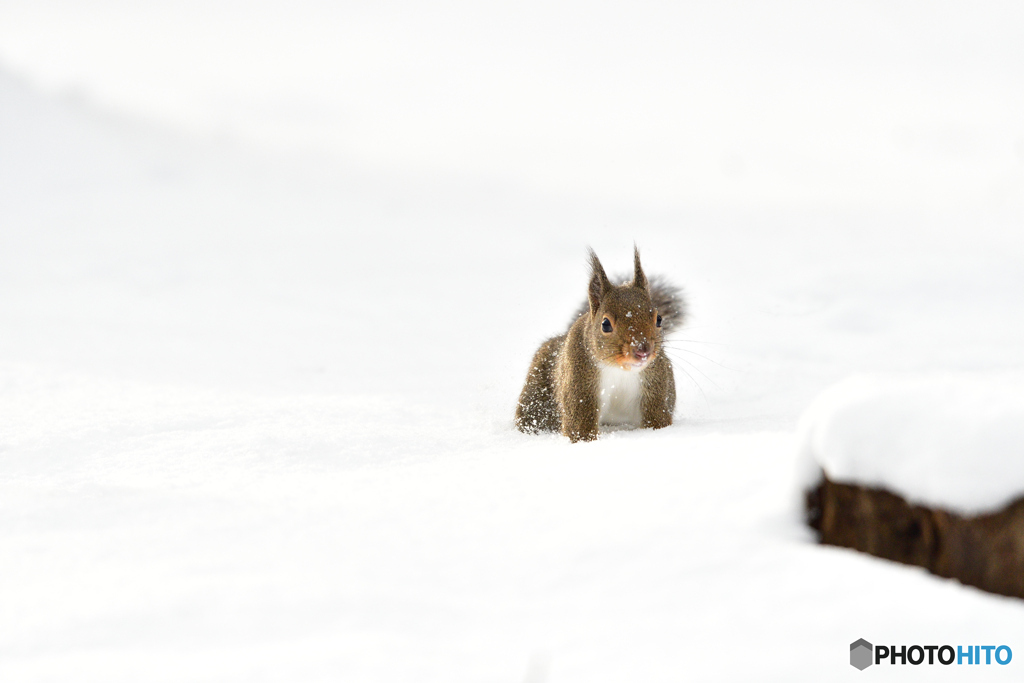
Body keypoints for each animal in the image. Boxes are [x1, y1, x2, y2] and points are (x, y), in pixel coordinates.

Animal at [512, 245, 688, 444]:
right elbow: (579, 425)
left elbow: (657, 418)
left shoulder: (656, 382)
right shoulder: (579, 385)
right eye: (605, 324)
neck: (620, 369)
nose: (643, 350)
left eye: (659, 319)